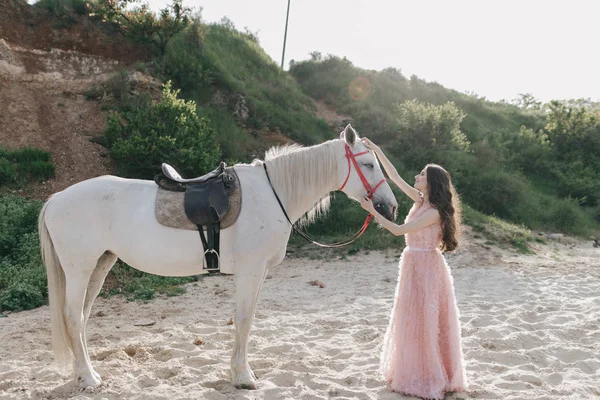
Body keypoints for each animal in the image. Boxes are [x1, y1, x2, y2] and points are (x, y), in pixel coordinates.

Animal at [37, 124, 398, 388]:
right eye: (368, 164)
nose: (390, 207)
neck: (272, 194)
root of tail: (55, 199)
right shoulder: (250, 271)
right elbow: (244, 320)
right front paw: (243, 377)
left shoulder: (258, 273)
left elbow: (246, 319)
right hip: (80, 269)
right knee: (73, 318)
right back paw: (88, 378)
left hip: (101, 264)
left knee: (81, 319)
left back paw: (83, 373)